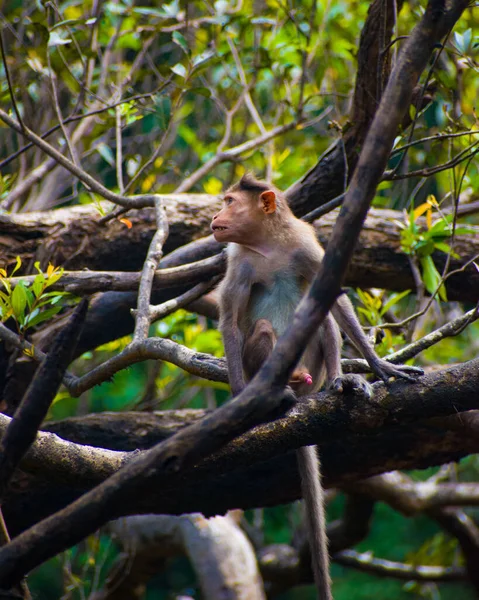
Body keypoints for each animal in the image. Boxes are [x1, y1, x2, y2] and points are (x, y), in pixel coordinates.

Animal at [212, 175, 422, 600]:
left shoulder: (305, 245)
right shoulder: (238, 261)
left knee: (324, 317)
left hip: (316, 368)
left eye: (229, 202)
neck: (268, 243)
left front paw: (378, 364)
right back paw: (278, 389)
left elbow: (335, 300)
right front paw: (240, 400)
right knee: (261, 330)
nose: (214, 216)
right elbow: (230, 320)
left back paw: (340, 381)